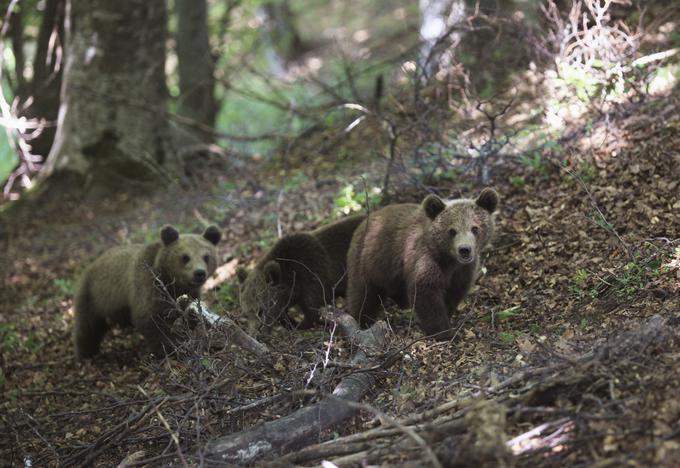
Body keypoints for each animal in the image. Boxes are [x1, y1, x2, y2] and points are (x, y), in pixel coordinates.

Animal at [74, 224, 223, 358]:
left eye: (206, 256)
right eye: (185, 257)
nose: (199, 273)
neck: (170, 281)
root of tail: (91, 263)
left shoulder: (189, 293)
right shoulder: (148, 285)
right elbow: (150, 319)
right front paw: (172, 347)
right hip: (94, 294)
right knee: (88, 326)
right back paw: (86, 353)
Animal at [238, 214, 366, 334]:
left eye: (261, 311)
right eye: (246, 313)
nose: (256, 334)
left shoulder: (312, 274)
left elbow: (316, 309)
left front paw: (300, 325)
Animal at [346, 189, 500, 340]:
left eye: (475, 228)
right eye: (452, 230)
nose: (464, 250)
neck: (448, 259)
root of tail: (366, 220)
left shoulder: (463, 270)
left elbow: (455, 290)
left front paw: (448, 314)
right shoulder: (425, 259)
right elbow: (426, 292)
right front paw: (443, 332)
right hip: (368, 260)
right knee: (363, 294)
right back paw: (362, 320)